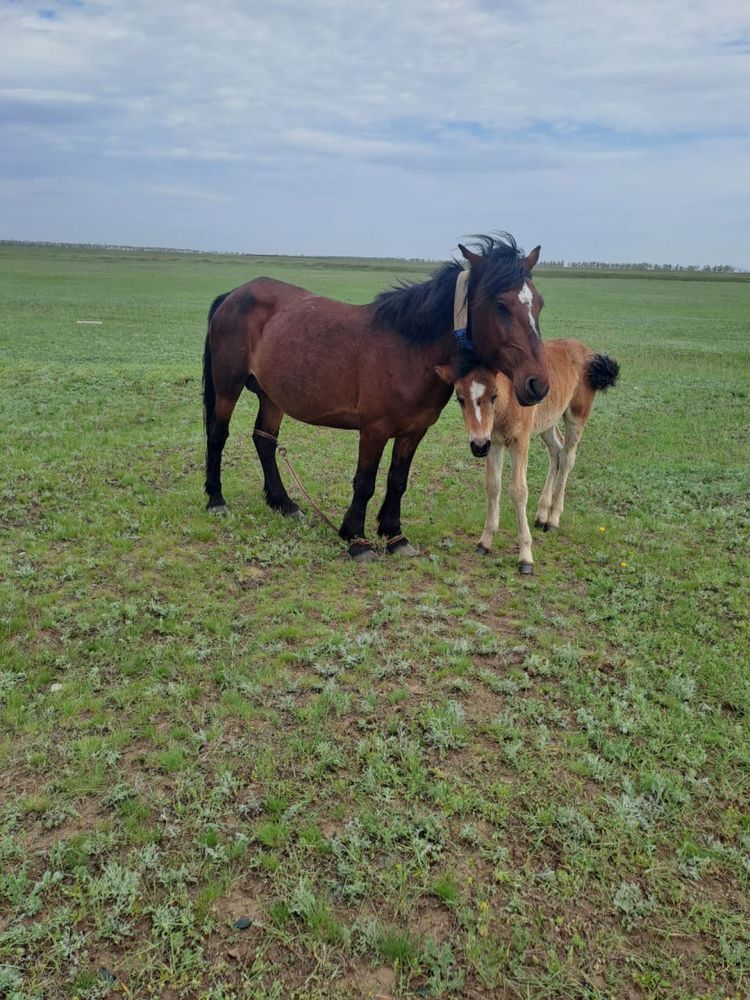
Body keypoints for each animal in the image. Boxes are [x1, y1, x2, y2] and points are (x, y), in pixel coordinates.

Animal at [203, 236, 548, 564]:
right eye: (501, 304)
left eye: (539, 304)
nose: (538, 384)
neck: (410, 350)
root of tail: (235, 294)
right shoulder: (373, 430)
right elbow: (365, 482)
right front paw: (357, 539)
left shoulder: (414, 431)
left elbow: (397, 480)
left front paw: (394, 535)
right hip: (228, 385)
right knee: (218, 435)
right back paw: (217, 500)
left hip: (272, 396)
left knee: (265, 440)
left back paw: (285, 504)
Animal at [438, 336, 620, 572]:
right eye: (460, 398)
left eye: (494, 395)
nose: (478, 446)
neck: (507, 401)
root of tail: (587, 351)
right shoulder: (494, 442)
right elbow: (493, 486)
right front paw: (485, 542)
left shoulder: (520, 440)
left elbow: (518, 491)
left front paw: (525, 556)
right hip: (547, 420)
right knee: (556, 451)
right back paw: (542, 514)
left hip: (577, 415)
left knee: (568, 457)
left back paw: (553, 519)